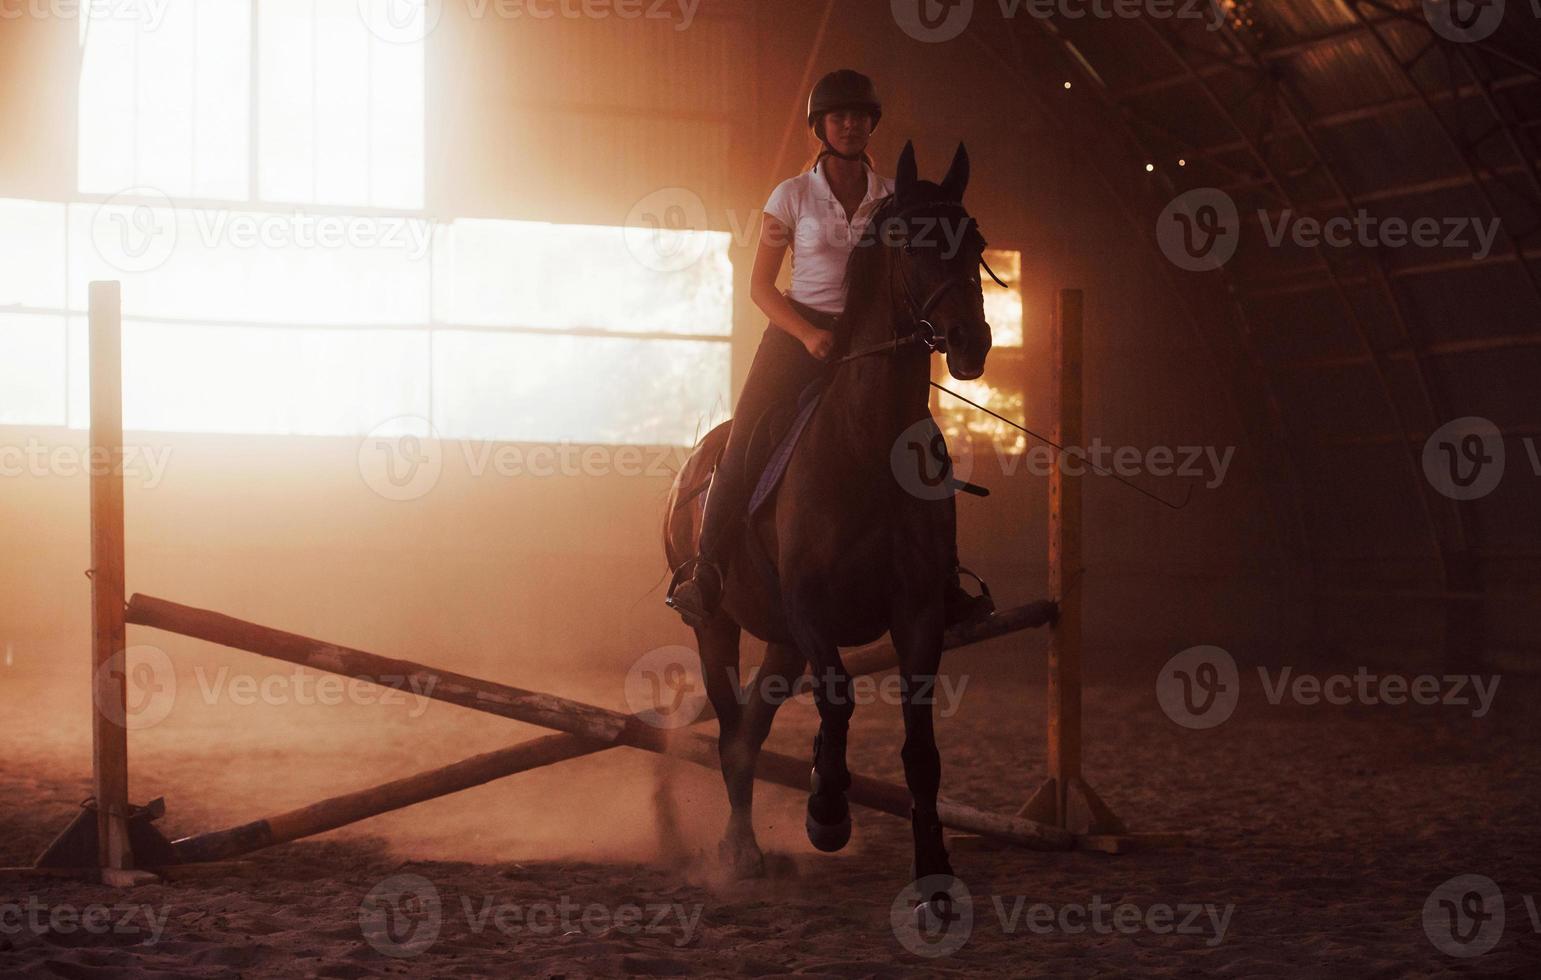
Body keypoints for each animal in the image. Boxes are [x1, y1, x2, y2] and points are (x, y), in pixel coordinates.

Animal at [659, 141, 992, 899]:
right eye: (910, 241)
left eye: (977, 243)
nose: (971, 341)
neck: (867, 444)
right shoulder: (810, 605)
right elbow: (837, 702)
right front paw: (827, 812)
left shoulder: (916, 612)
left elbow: (919, 748)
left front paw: (933, 872)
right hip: (717, 626)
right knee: (732, 732)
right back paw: (740, 851)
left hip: (782, 642)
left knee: (750, 729)